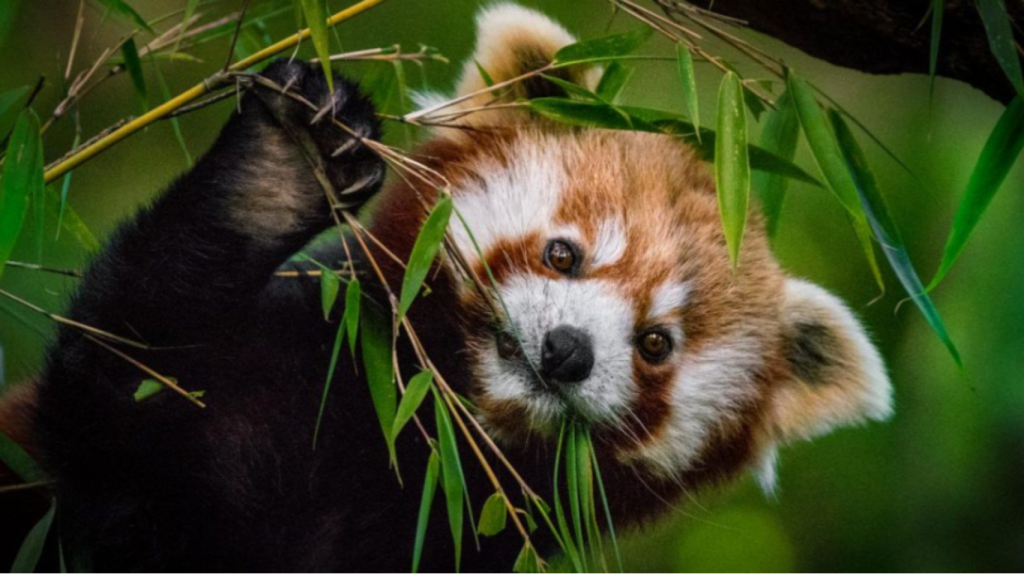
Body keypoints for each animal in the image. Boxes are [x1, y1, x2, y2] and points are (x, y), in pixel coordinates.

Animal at [0, 3, 892, 569]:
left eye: (655, 343)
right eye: (563, 255)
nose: (566, 351)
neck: (410, 438)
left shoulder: (451, 538)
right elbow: (115, 386)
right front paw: (280, 171)